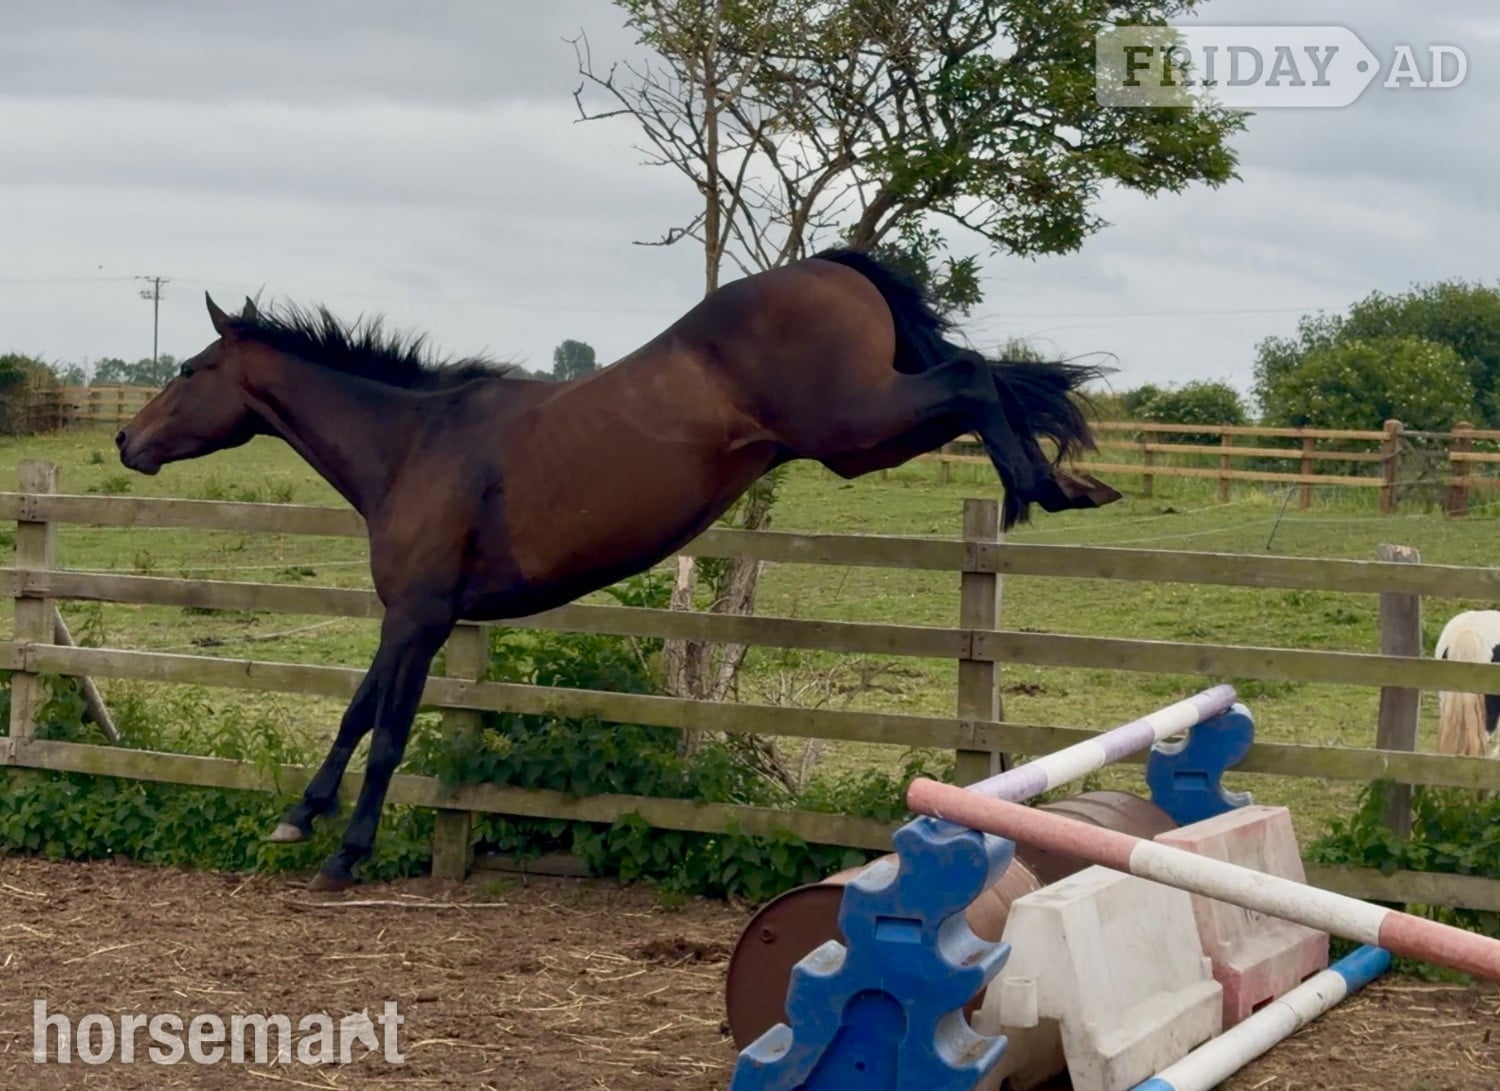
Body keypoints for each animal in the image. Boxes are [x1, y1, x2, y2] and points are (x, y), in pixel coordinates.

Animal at [116, 247, 1122, 889]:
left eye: (193, 367)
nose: (129, 441)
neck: (415, 443)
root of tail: (830, 267)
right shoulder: (413, 616)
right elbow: (359, 711)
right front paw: (300, 815)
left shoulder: (420, 617)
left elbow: (389, 729)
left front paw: (342, 853)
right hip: (863, 439)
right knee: (980, 380)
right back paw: (1066, 484)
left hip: (853, 422)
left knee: (973, 378)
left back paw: (1043, 487)